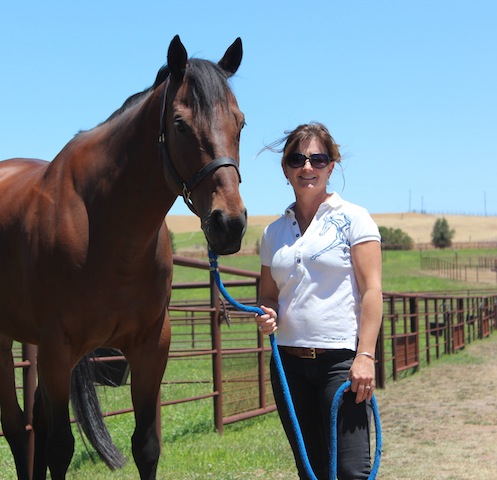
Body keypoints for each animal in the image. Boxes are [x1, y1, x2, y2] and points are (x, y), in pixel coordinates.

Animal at [0, 36, 247, 480]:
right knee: (16, 429)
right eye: (180, 124)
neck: (105, 225)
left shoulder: (151, 346)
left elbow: (145, 445)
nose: (229, 224)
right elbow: (60, 447)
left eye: (240, 123)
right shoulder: (58, 349)